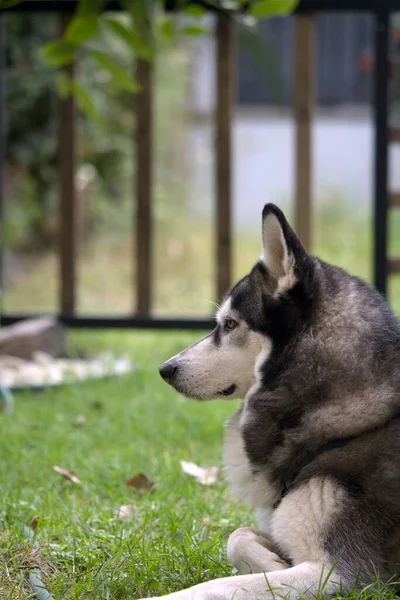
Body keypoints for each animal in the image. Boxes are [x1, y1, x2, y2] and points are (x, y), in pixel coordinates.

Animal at [153, 204, 400, 596]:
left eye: (230, 324)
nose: (166, 369)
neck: (349, 427)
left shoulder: (343, 574)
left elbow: (216, 586)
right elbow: (237, 536)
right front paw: (270, 560)